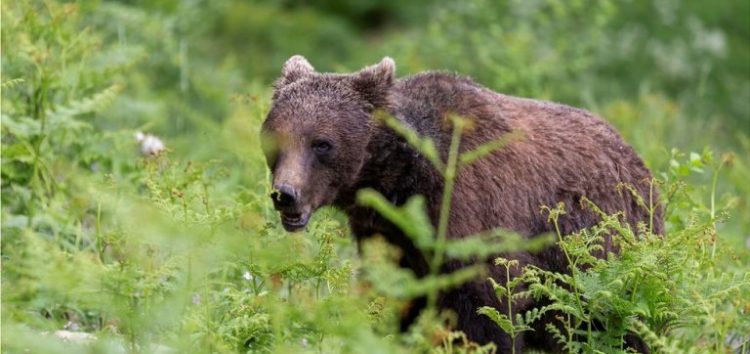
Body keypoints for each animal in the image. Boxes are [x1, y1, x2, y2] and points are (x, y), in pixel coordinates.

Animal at [260, 56, 664, 354]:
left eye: (321, 143)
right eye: (274, 139)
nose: (286, 194)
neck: (400, 181)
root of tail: (636, 156)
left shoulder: (475, 221)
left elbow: (487, 315)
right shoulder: (390, 236)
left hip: (603, 252)